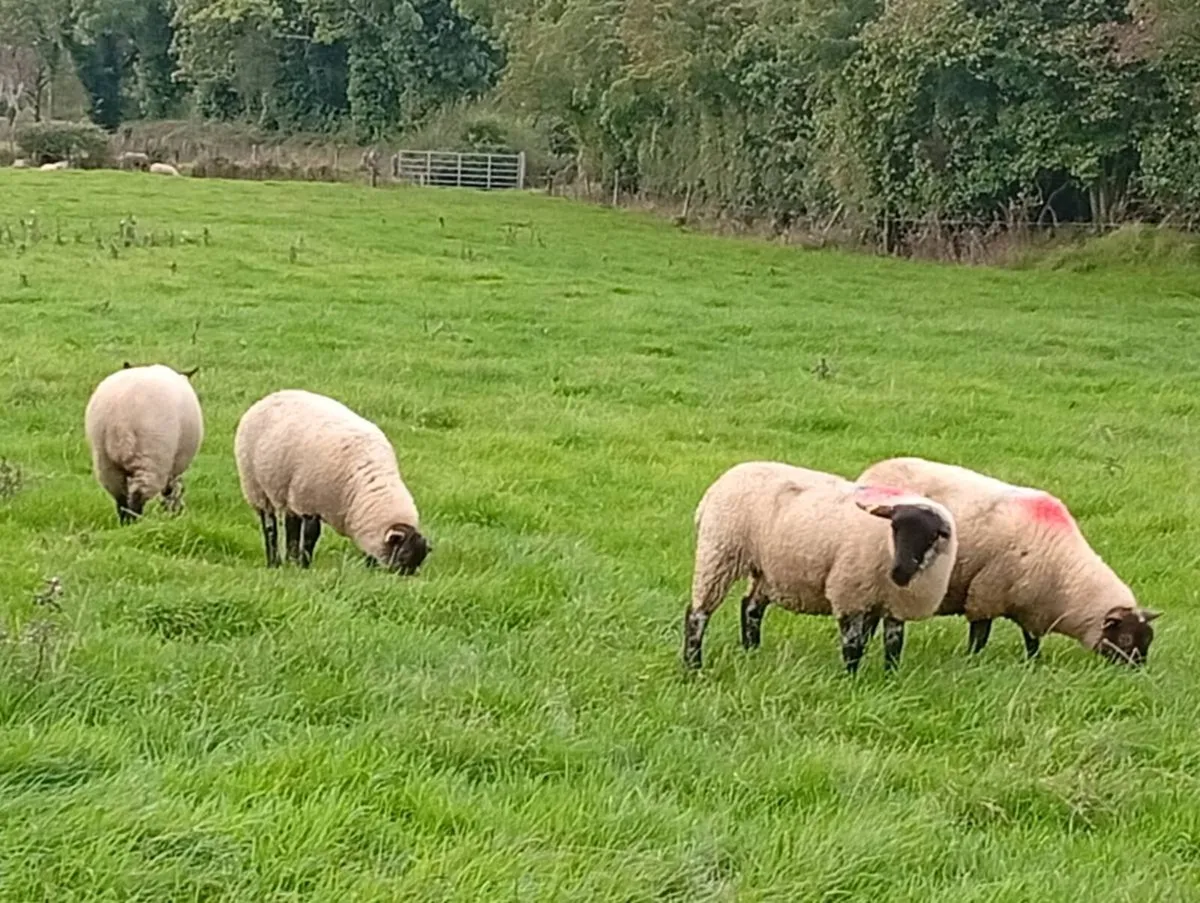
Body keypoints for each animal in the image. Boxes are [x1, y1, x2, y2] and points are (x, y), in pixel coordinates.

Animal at [84, 364, 204, 524]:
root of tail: (121, 422)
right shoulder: (175, 463)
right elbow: (173, 490)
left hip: (105, 460)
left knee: (120, 498)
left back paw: (125, 523)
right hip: (151, 457)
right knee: (138, 496)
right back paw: (135, 524)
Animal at [234, 390, 429, 574]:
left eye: (420, 559)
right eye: (403, 554)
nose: (402, 578)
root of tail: (269, 397)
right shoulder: (310, 502)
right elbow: (311, 536)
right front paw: (305, 566)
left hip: (290, 492)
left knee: (292, 526)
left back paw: (290, 561)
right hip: (255, 486)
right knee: (269, 526)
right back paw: (274, 562)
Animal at [683, 461, 958, 673]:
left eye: (932, 536)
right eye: (895, 528)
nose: (899, 573)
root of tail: (716, 487)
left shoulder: (894, 604)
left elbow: (893, 645)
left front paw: (891, 678)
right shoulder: (850, 594)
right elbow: (853, 644)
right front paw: (851, 679)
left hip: (765, 567)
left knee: (750, 607)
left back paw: (752, 652)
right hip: (718, 554)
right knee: (697, 614)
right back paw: (693, 666)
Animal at [856, 456, 1160, 666]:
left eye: (1148, 639)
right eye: (1125, 638)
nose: (1136, 672)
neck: (1065, 576)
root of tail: (871, 472)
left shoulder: (1031, 603)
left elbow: (1031, 640)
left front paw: (1034, 664)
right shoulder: (987, 593)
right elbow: (980, 635)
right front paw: (973, 661)